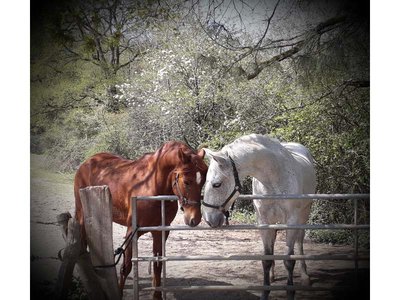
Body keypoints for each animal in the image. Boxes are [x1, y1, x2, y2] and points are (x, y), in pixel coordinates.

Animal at [73, 142, 208, 298]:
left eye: (203, 181)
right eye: (186, 182)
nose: (194, 218)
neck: (153, 186)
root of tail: (88, 161)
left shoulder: (160, 232)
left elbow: (157, 265)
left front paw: (157, 296)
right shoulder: (132, 232)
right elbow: (126, 267)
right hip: (81, 215)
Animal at [202, 134, 318, 300]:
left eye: (216, 184)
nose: (208, 218)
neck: (275, 177)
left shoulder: (292, 221)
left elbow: (289, 261)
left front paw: (290, 292)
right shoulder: (263, 222)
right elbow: (266, 260)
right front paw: (265, 291)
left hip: (304, 214)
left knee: (300, 241)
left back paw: (304, 276)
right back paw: (272, 276)